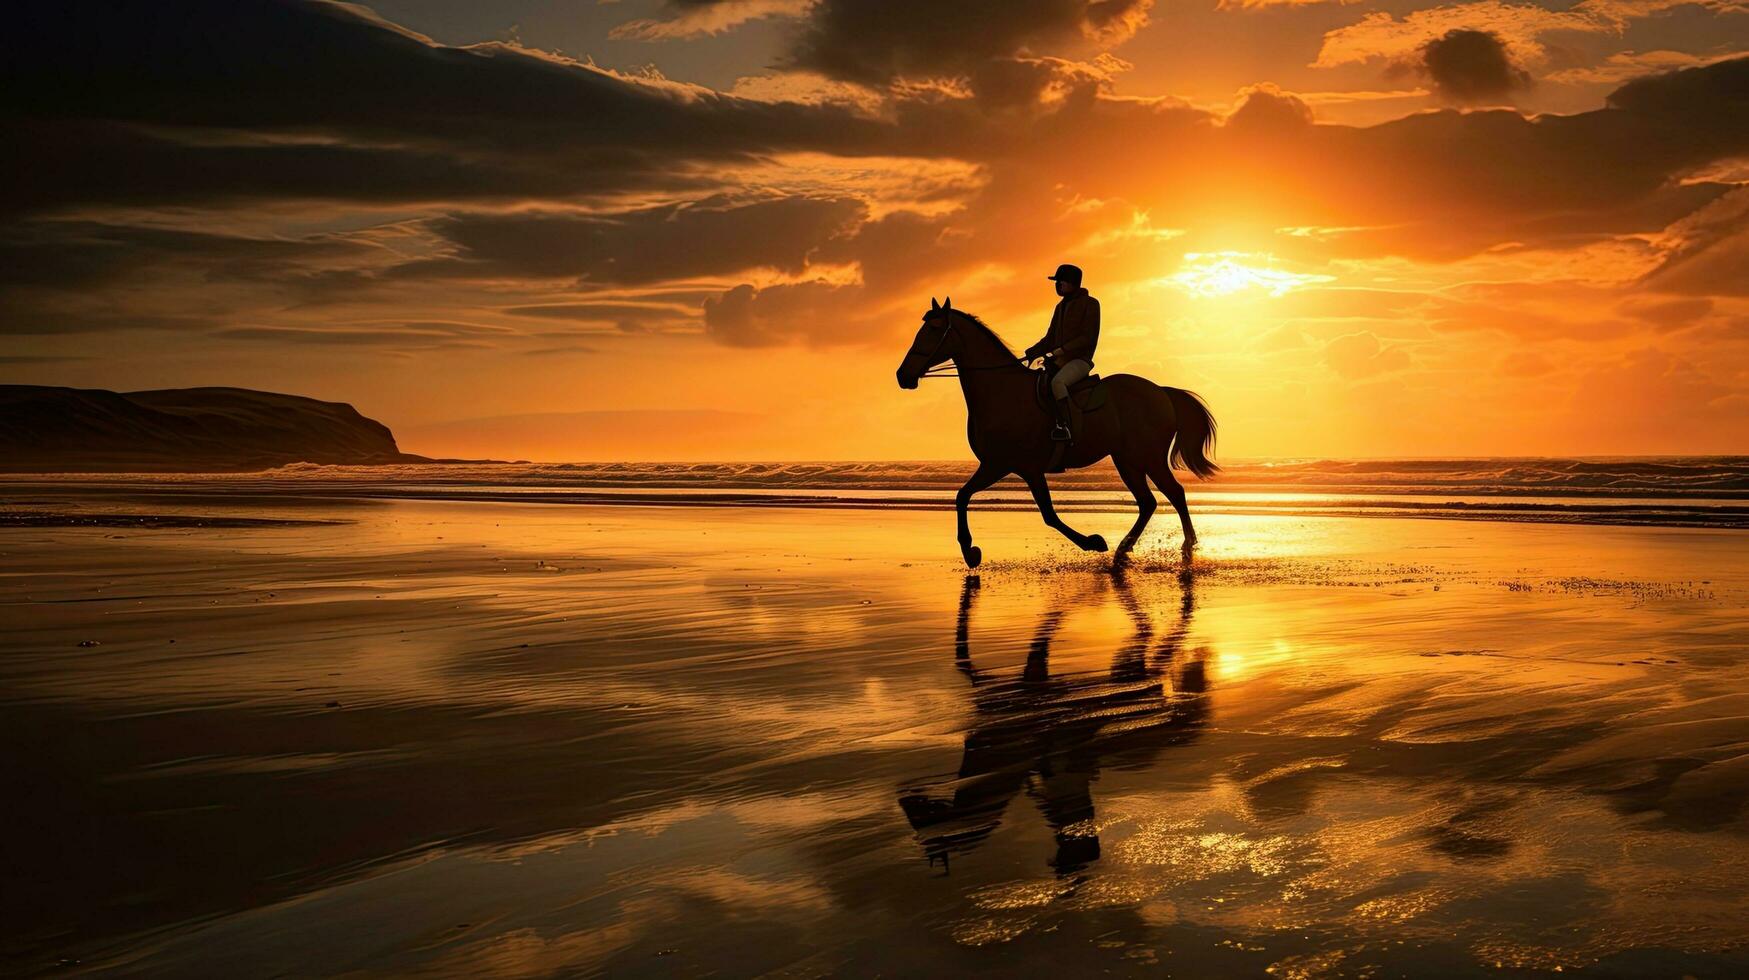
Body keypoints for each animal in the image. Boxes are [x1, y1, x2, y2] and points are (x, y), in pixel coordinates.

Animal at [902, 301, 1217, 574]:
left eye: (933, 330)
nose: (902, 375)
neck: (1002, 392)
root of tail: (1162, 392)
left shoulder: (1013, 466)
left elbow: (1046, 514)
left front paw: (1093, 542)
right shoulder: (1001, 466)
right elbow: (962, 496)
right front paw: (970, 552)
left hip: (1147, 457)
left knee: (1174, 493)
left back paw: (1186, 549)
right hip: (1126, 460)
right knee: (1148, 502)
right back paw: (1122, 552)